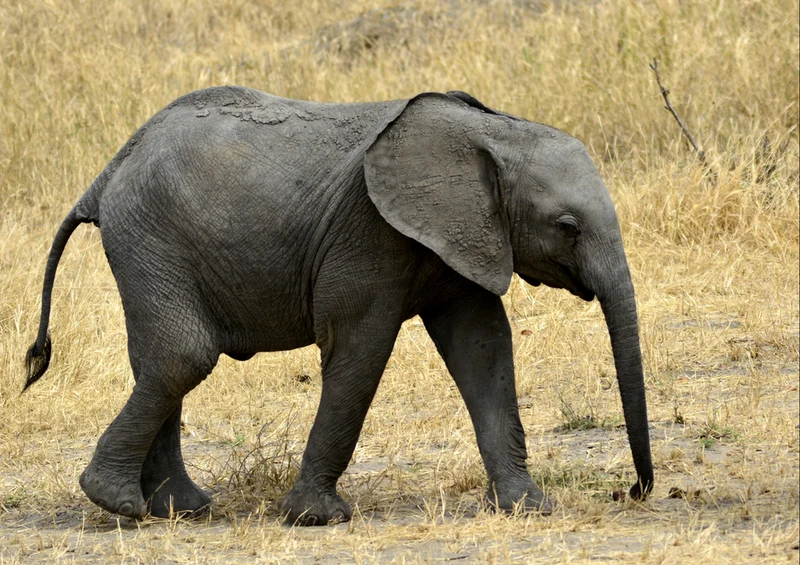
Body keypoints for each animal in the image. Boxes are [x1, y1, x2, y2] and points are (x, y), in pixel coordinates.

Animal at [25, 86, 653, 525]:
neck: (493, 131)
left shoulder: (465, 236)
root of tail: (108, 173)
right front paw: (317, 519)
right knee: (183, 356)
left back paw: (182, 510)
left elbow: (483, 350)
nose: (632, 490)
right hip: (151, 238)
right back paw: (118, 504)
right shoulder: (369, 234)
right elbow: (360, 351)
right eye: (567, 227)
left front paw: (529, 508)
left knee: (159, 362)